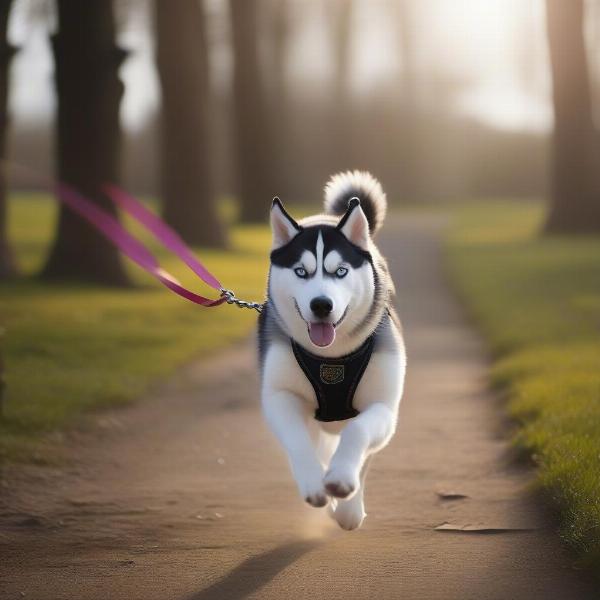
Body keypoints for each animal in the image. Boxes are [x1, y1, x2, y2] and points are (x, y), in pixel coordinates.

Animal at [260, 170, 406, 528]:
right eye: (301, 271)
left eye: (340, 271)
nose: (321, 305)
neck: (332, 357)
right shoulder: (280, 397)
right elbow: (298, 439)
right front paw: (315, 482)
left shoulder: (383, 406)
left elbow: (358, 430)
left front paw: (343, 486)